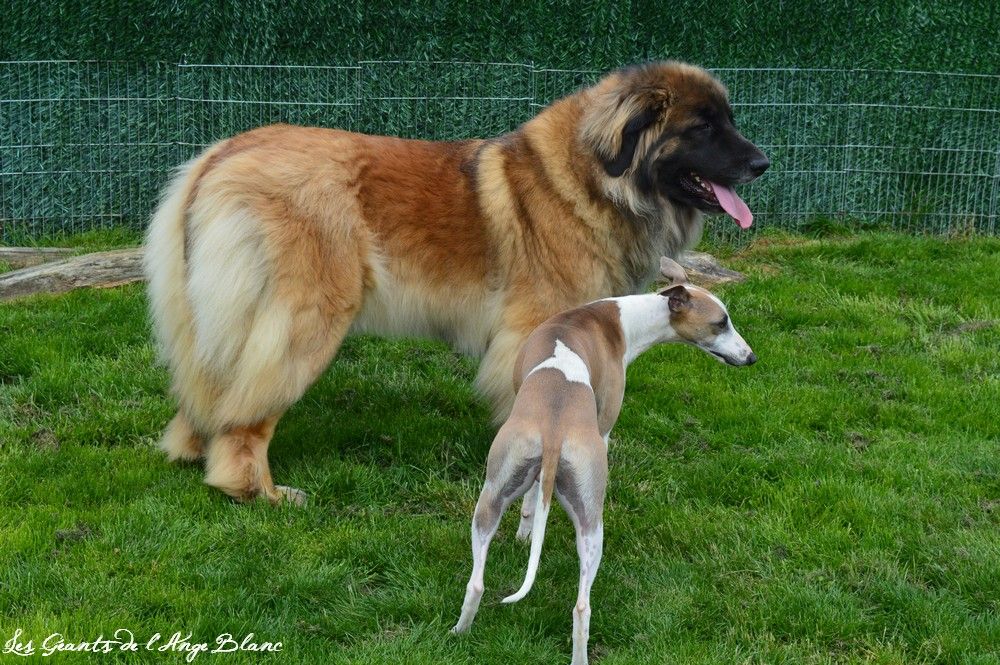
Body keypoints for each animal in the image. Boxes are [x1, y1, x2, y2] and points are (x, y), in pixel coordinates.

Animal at [143, 62, 764, 500]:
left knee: (210, 390)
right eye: (703, 127)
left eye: (729, 121)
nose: (763, 163)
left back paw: (193, 449)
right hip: (305, 319)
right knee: (247, 412)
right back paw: (257, 490)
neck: (596, 179)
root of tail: (224, 151)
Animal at [450, 256, 752, 660]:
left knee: (477, 583)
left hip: (494, 492)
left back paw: (460, 631)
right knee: (581, 606)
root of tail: (554, 430)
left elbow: (531, 501)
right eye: (721, 322)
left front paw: (524, 534)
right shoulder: (606, 426)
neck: (619, 321)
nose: (751, 357)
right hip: (593, 519)